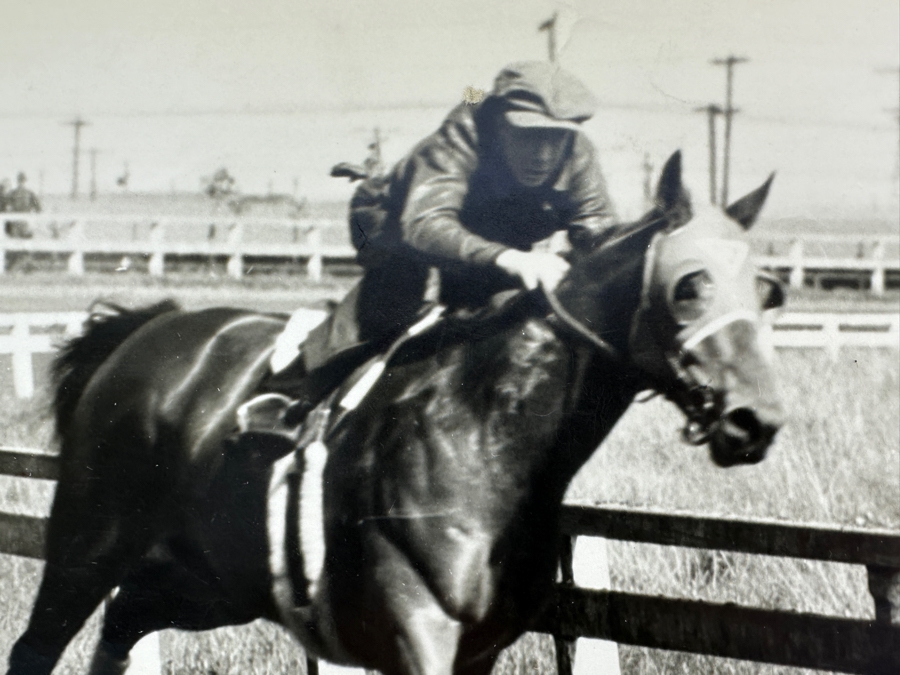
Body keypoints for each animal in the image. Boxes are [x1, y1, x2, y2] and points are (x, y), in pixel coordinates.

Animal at [7, 152, 785, 675]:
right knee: (38, 643)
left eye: (766, 289)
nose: (757, 420)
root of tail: (144, 329)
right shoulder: (417, 627)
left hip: (213, 578)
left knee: (125, 616)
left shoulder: (479, 646)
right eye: (689, 285)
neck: (487, 436)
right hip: (87, 542)